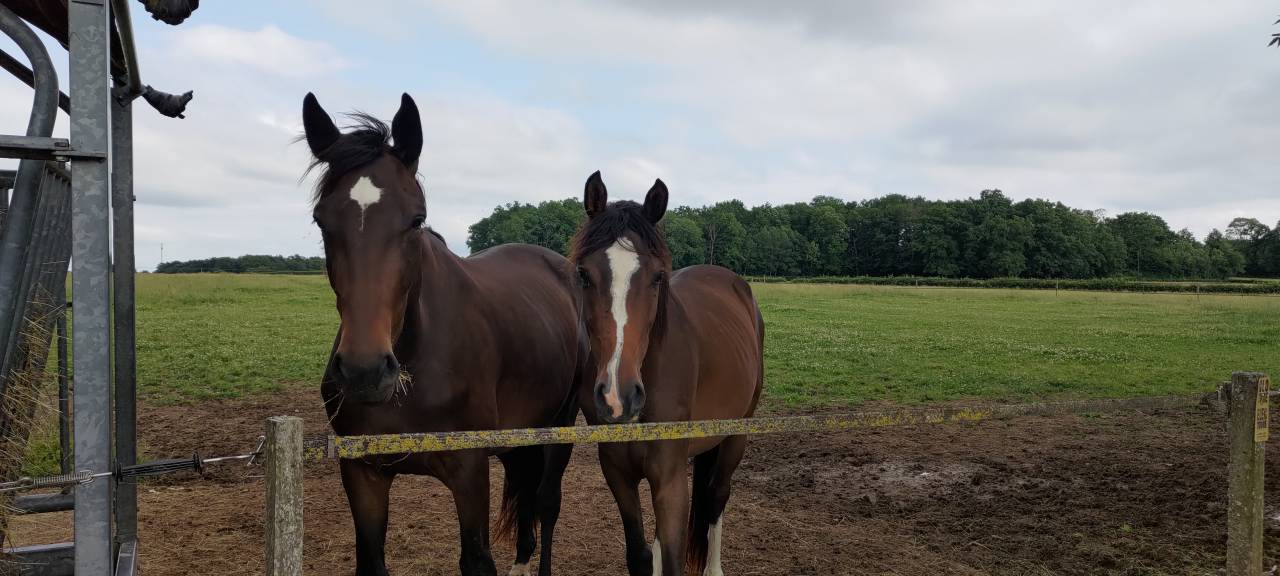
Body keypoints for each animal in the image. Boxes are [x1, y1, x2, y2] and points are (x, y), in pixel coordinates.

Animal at [301, 92, 581, 576]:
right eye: (321, 221)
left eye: (416, 220)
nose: (364, 373)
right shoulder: (362, 471)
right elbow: (371, 561)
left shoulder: (469, 470)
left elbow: (477, 559)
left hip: (559, 424)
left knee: (547, 503)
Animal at [569, 172, 765, 575]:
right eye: (583, 274)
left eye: (658, 277)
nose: (618, 399)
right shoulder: (618, 473)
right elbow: (641, 555)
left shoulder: (670, 478)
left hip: (736, 434)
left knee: (716, 497)